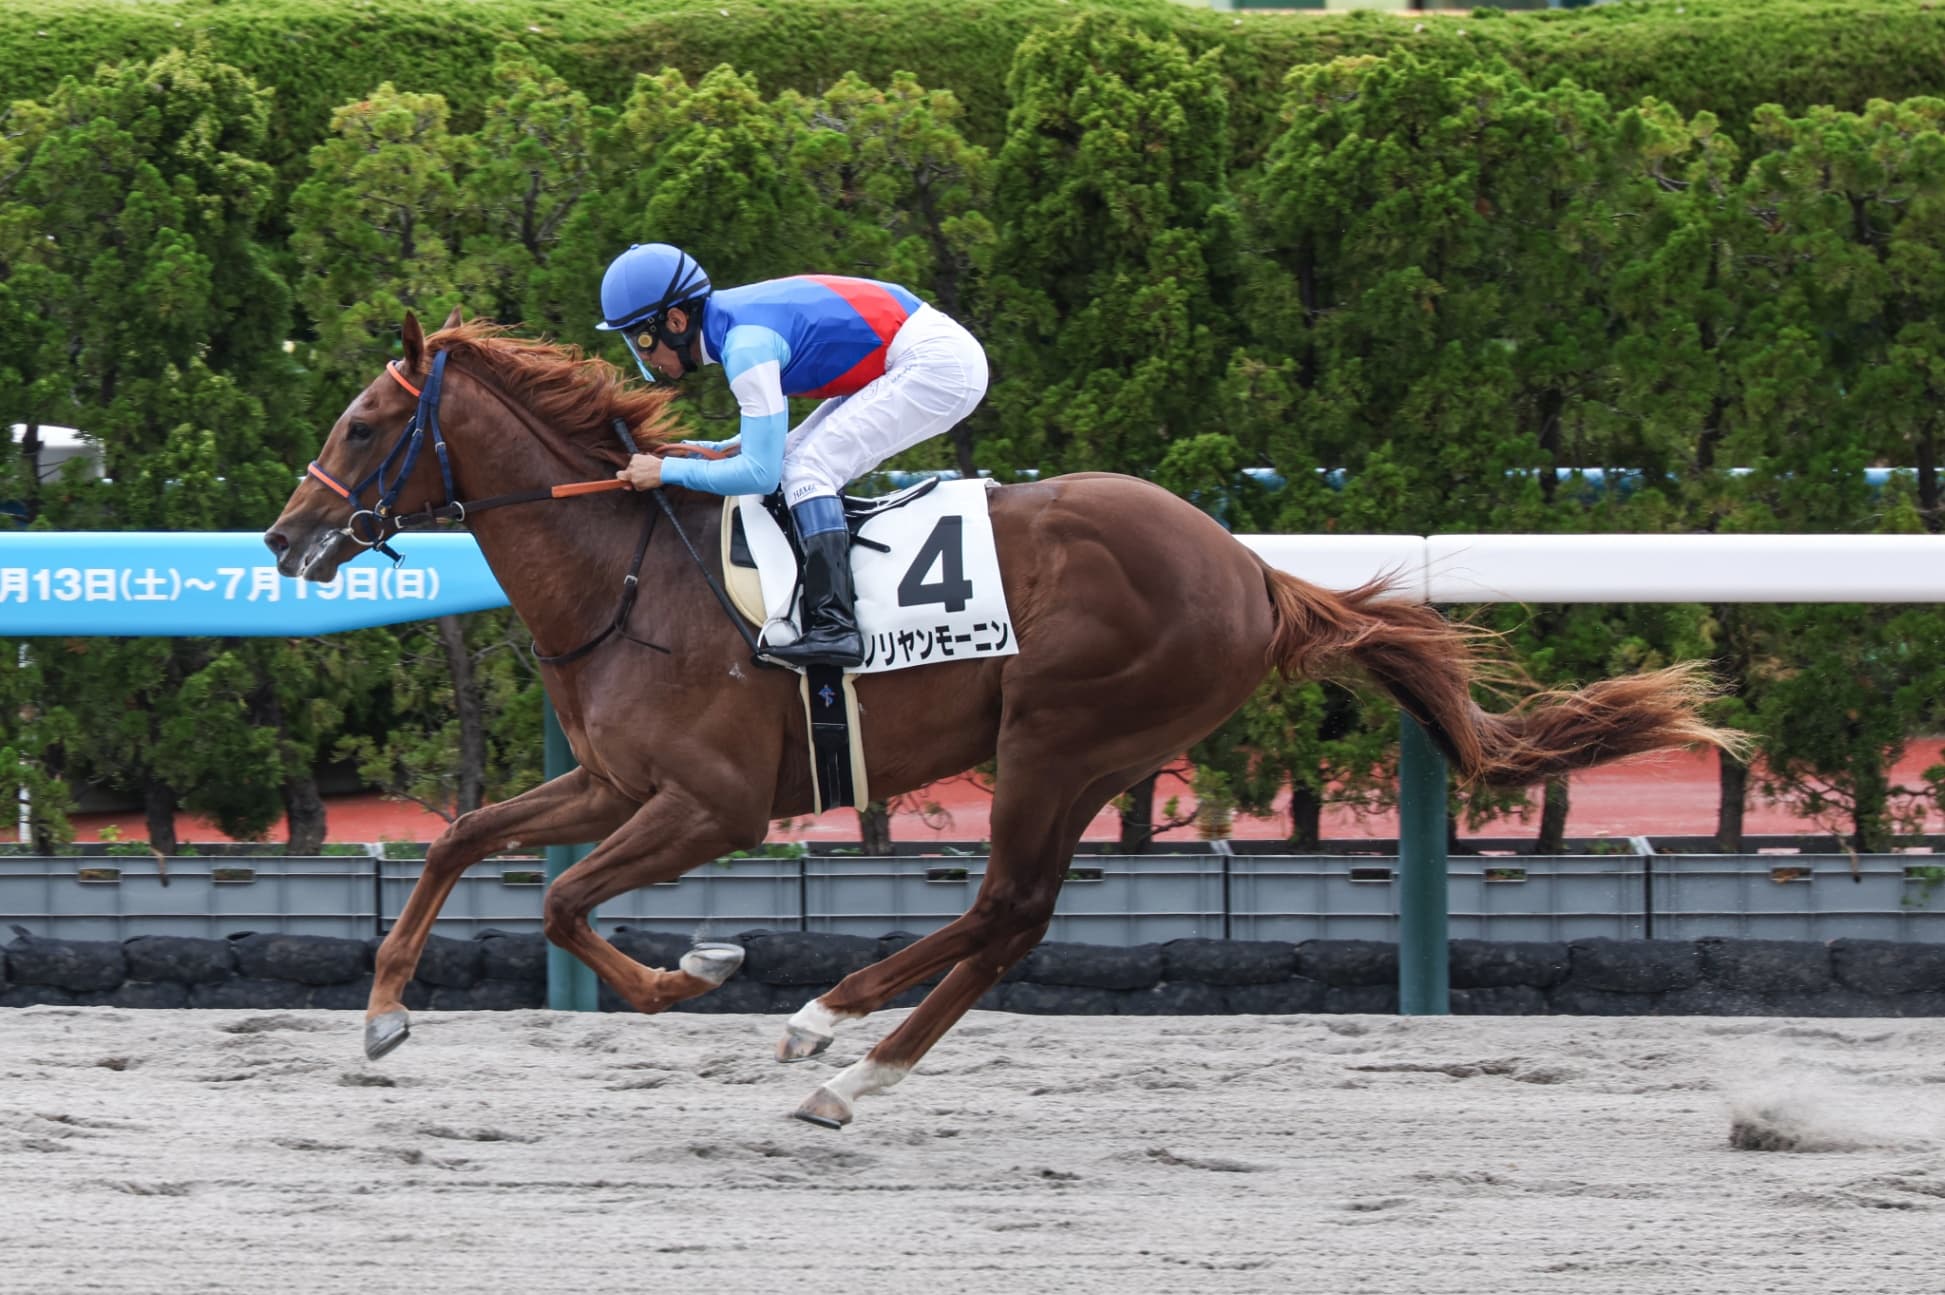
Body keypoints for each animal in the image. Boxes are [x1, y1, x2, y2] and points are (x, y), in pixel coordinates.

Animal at [265, 309, 1739, 1129]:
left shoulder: (711, 801)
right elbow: (465, 839)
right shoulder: (618, 782)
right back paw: (845, 1065)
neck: (631, 573)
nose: (285, 536)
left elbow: (565, 902)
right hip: (1084, 753)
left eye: (364, 420)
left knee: (1003, 909)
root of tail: (1251, 569)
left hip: (1058, 737)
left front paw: (700, 972)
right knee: (1010, 921)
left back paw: (827, 1031)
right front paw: (382, 1013)